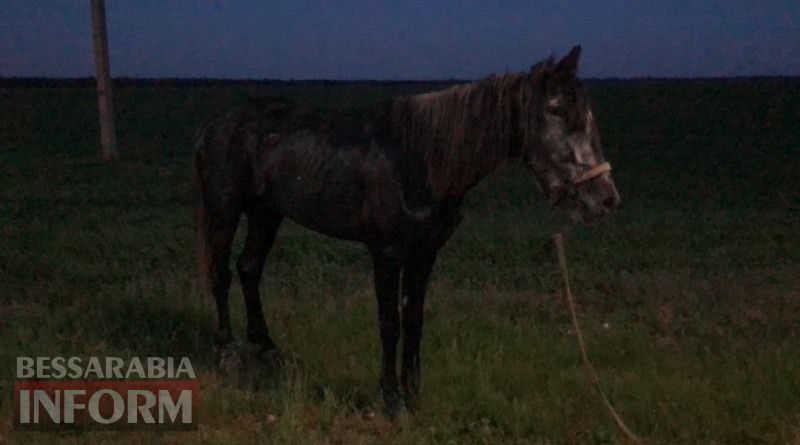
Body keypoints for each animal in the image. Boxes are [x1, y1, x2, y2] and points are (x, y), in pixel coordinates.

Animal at [192, 46, 620, 416]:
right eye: (556, 110)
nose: (605, 199)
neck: (419, 161)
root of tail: (215, 124)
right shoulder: (387, 252)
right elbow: (390, 323)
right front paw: (392, 400)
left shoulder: (424, 252)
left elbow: (414, 319)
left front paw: (414, 395)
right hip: (224, 211)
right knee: (221, 274)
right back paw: (227, 352)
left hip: (267, 213)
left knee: (249, 268)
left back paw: (266, 348)